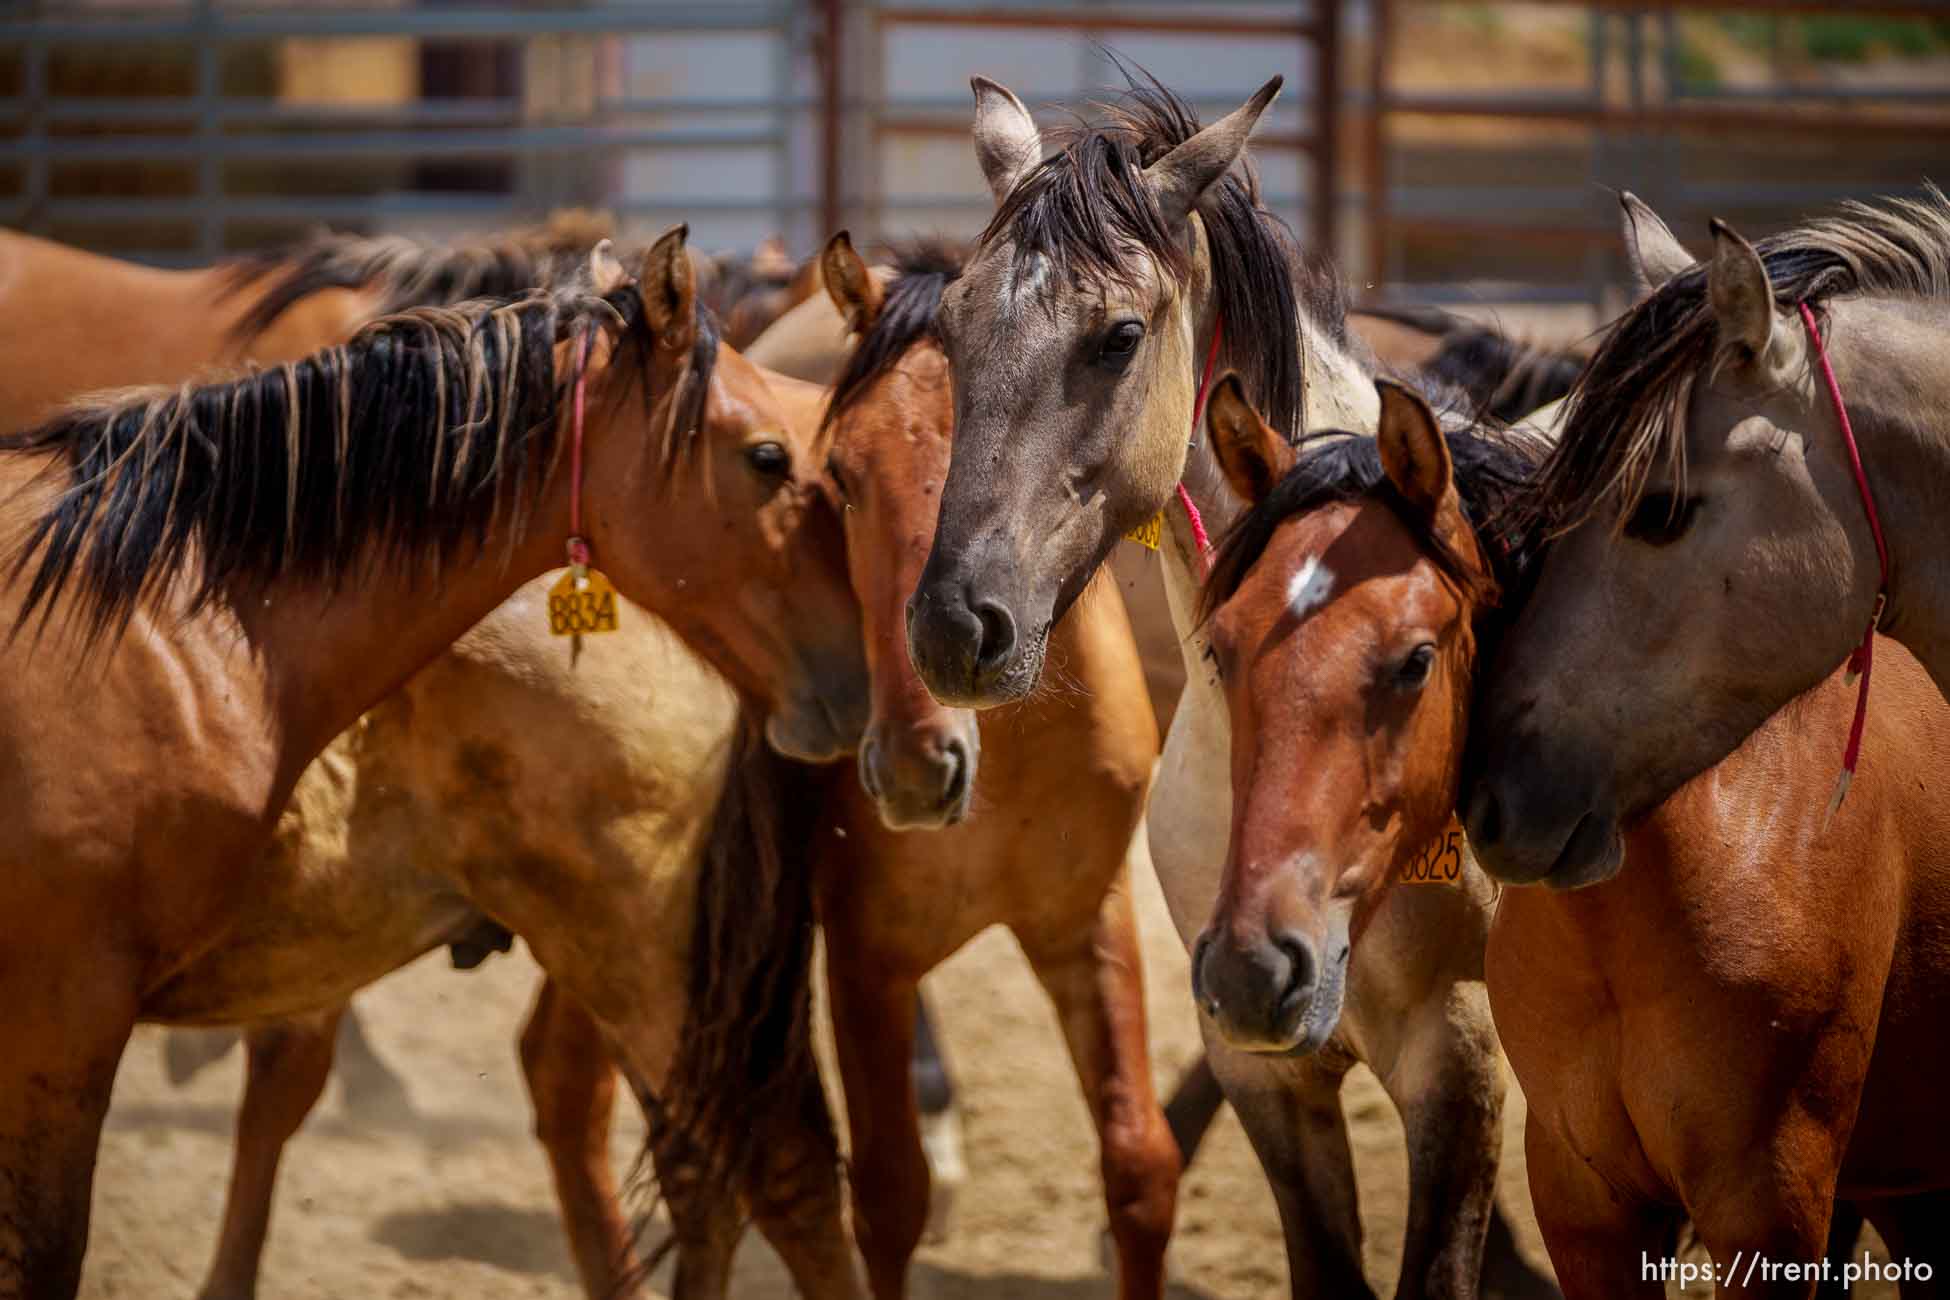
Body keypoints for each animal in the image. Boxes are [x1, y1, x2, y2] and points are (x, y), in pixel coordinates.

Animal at [0, 229, 861, 1294]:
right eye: (769, 454)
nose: (865, 672)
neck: (155, 614)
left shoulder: (68, 1020)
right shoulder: (60, 1015)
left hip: (642, 947)